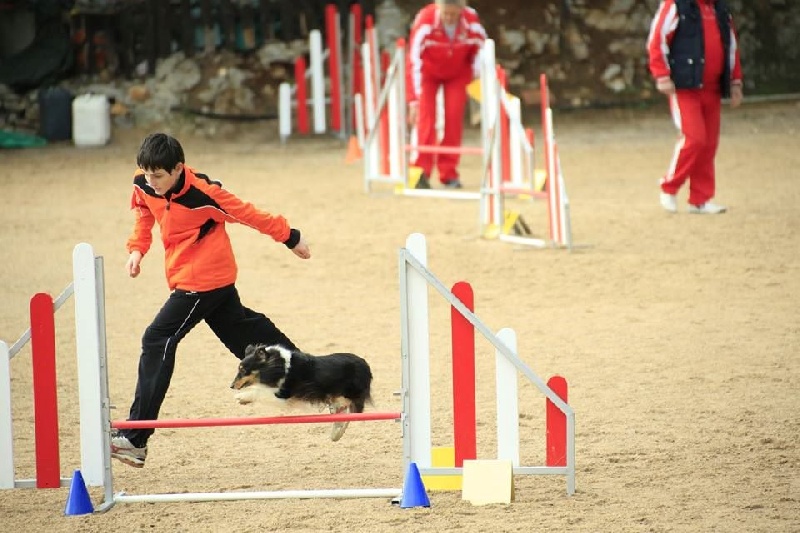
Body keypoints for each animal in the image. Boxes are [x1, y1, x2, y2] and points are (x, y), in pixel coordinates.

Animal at [228, 340, 372, 440]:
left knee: (352, 411)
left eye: (242, 370)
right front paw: (244, 400)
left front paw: (241, 397)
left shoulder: (284, 394)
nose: (231, 386)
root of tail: (365, 364)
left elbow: (260, 392)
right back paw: (336, 431)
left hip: (349, 394)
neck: (279, 366)